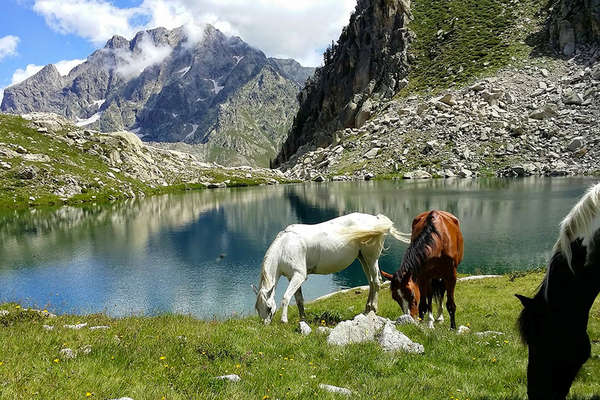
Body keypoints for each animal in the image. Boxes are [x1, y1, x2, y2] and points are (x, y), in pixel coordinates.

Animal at [251, 214, 410, 324]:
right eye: (257, 308)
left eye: (269, 308)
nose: (265, 324)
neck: (284, 246)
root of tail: (377, 219)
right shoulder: (292, 277)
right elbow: (299, 299)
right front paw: (303, 318)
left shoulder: (299, 275)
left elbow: (285, 297)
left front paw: (284, 320)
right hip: (363, 259)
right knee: (371, 282)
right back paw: (367, 309)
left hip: (371, 259)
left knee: (376, 282)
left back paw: (374, 309)